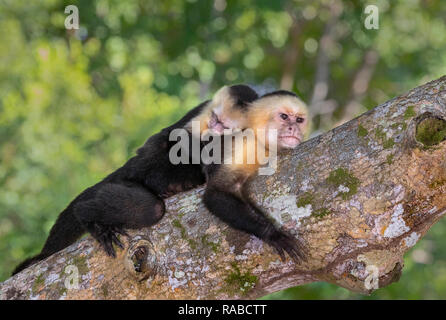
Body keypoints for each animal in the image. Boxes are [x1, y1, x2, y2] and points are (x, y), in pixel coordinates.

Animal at [13, 84, 258, 274]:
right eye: (215, 118)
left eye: (224, 124)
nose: (213, 127)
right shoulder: (202, 111)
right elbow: (175, 137)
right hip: (131, 177)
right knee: (150, 204)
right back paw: (88, 216)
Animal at [203, 90, 310, 262]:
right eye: (284, 117)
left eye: (299, 120)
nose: (293, 128)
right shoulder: (247, 145)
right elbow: (216, 192)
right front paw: (272, 234)